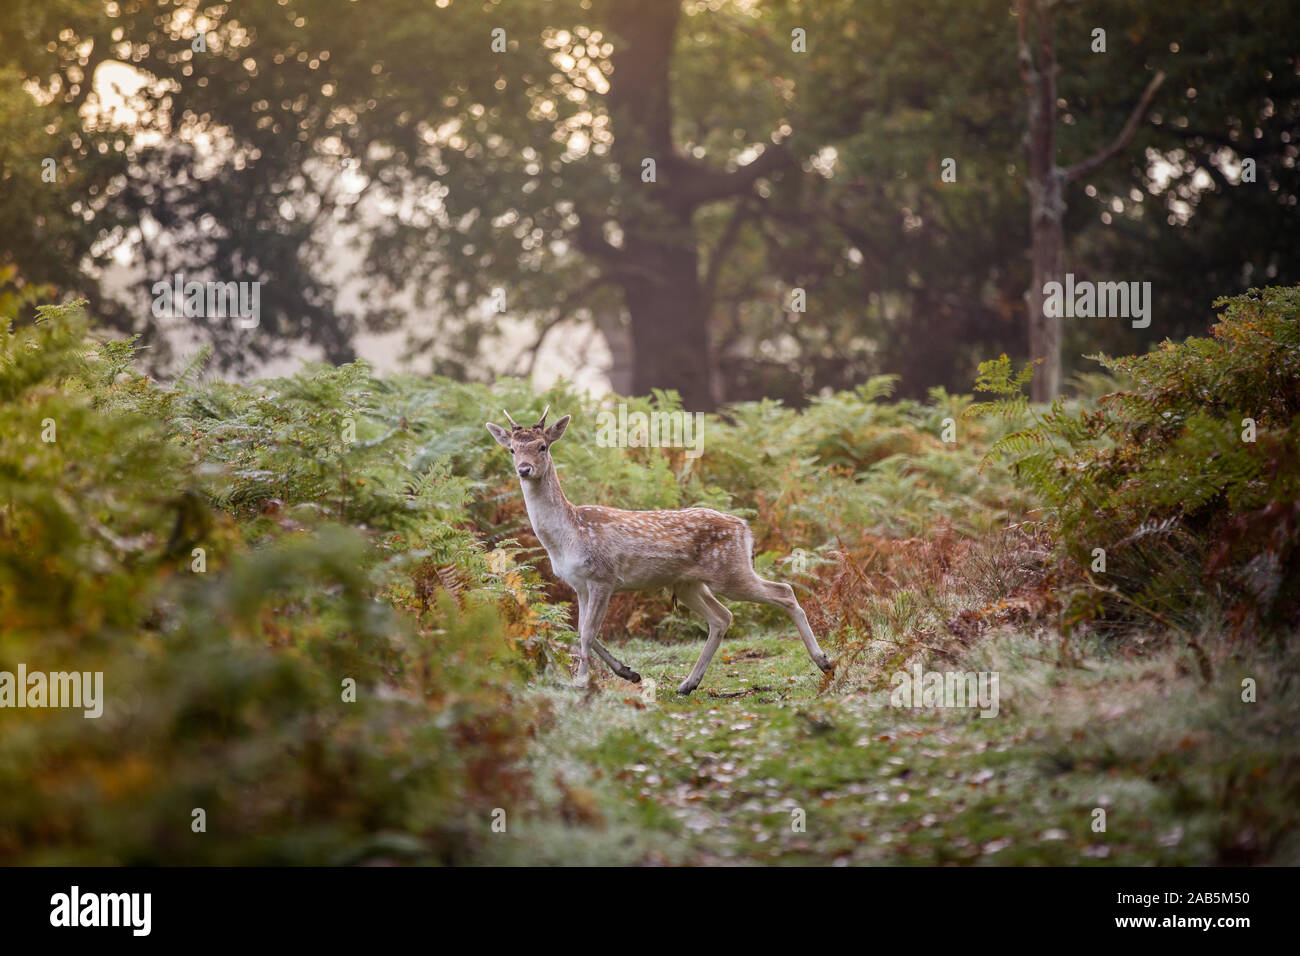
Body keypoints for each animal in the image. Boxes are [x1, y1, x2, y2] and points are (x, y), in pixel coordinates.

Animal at [486, 405, 832, 697]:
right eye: (512, 449)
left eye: (542, 446)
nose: (524, 469)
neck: (568, 534)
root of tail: (744, 528)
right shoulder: (579, 585)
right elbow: (583, 632)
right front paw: (628, 672)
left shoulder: (602, 576)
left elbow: (586, 634)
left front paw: (581, 683)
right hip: (689, 583)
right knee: (722, 617)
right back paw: (688, 684)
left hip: (730, 571)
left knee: (783, 591)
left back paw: (823, 661)